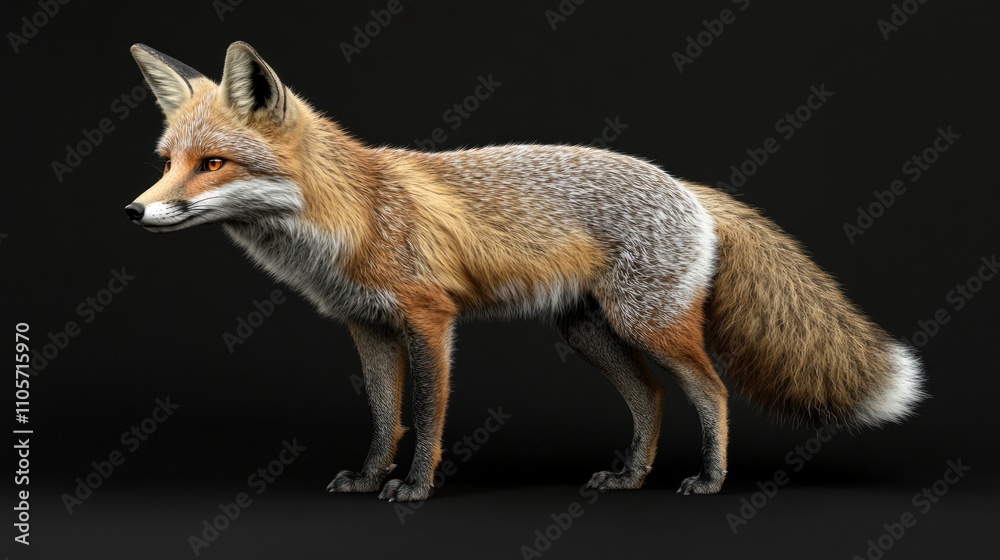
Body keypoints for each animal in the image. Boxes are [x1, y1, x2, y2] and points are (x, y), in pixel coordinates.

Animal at [125, 41, 925, 501]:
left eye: (213, 164)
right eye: (166, 162)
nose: (134, 212)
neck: (352, 213)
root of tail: (688, 187)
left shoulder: (430, 319)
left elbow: (426, 413)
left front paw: (414, 488)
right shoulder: (367, 327)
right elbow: (384, 417)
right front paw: (370, 476)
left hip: (647, 323)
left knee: (712, 390)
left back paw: (709, 478)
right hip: (587, 333)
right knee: (651, 397)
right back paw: (631, 476)